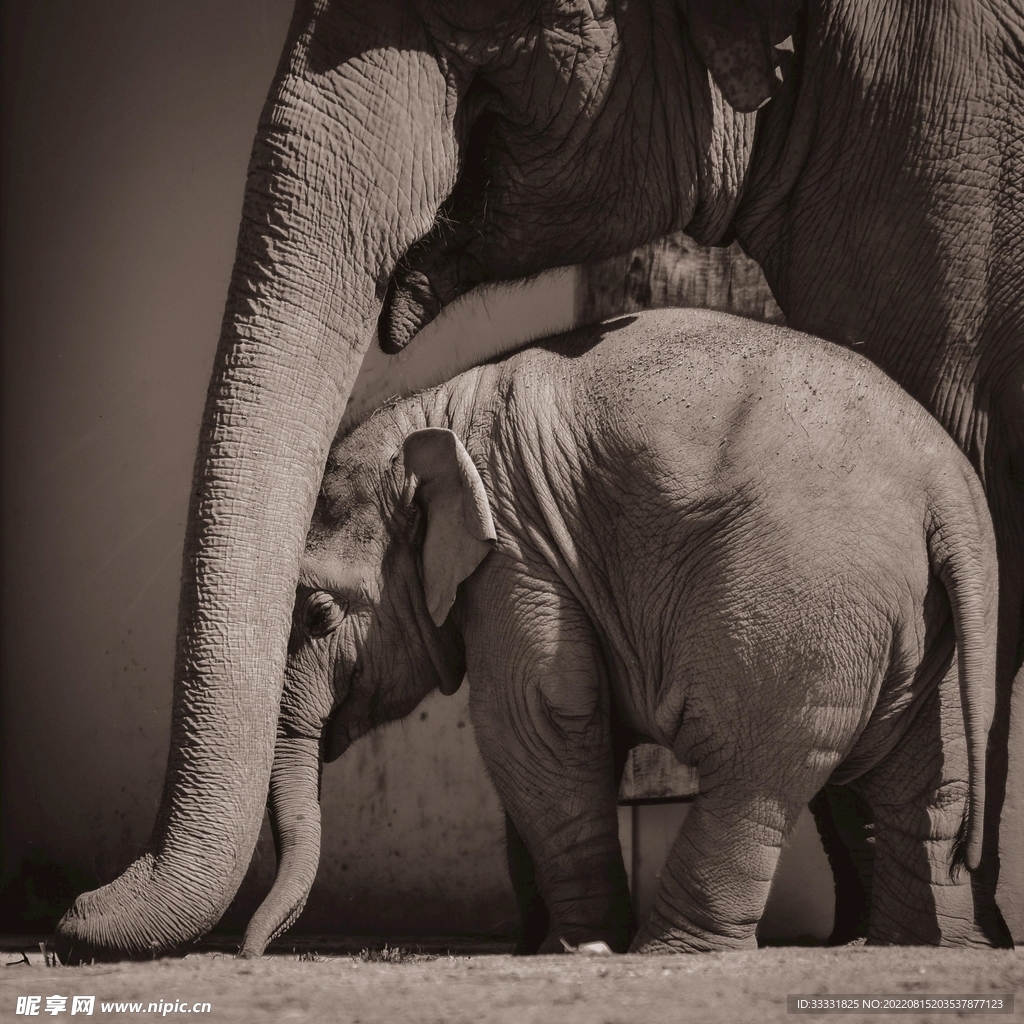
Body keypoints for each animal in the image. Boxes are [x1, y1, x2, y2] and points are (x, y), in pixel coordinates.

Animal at [233, 308, 996, 956]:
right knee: (926, 784)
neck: (433, 412)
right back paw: (925, 947)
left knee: (752, 777)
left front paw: (572, 946)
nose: (250, 950)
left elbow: (535, 719)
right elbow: (545, 740)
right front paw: (543, 943)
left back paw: (673, 950)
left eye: (318, 613)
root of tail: (946, 483)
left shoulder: (519, 551)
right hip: (923, 620)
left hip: (805, 598)